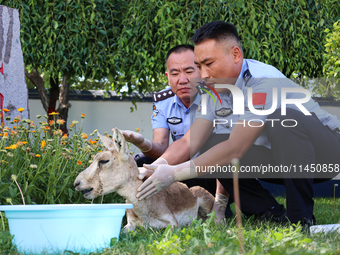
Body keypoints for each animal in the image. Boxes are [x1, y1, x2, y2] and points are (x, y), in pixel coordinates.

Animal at [74, 128, 214, 230]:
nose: (76, 183)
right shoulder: (130, 224)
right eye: (94, 158)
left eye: (104, 160)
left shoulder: (173, 222)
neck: (145, 212)